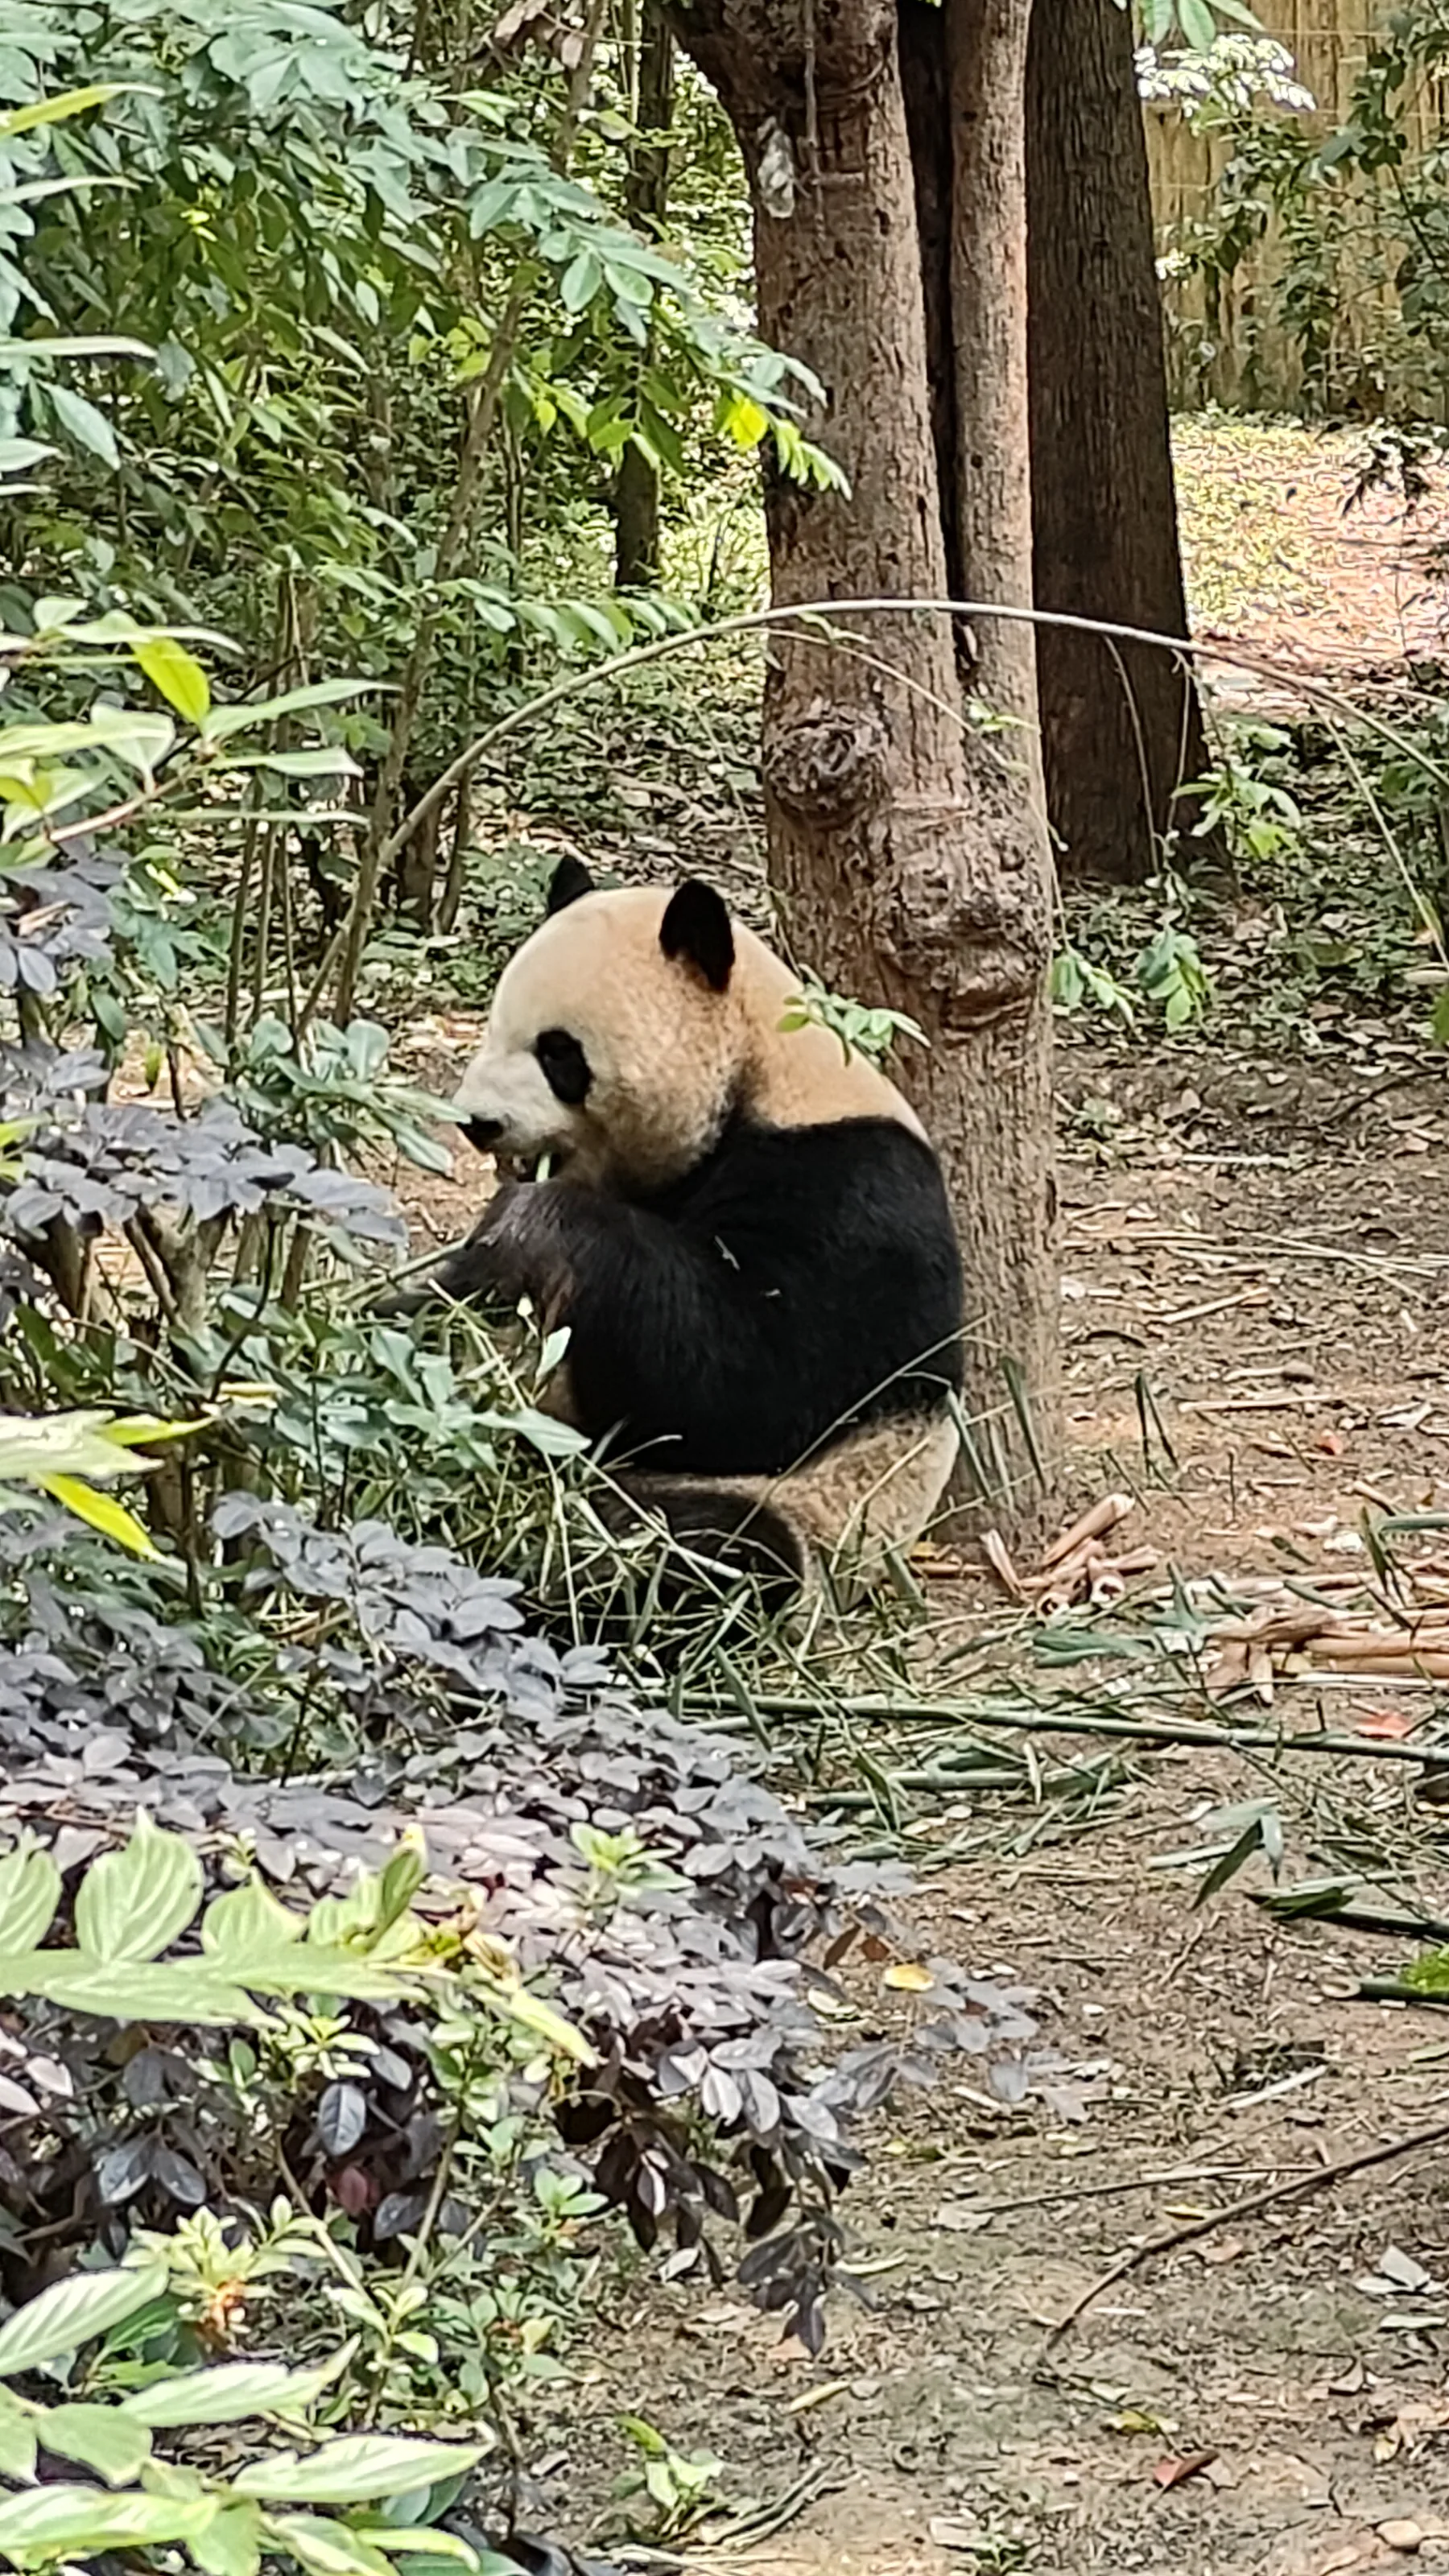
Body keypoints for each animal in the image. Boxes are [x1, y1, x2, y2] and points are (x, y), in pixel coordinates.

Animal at [418, 857, 964, 1605]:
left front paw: (531, 1221)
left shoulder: (851, 1192)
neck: (759, 1073)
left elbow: (745, 1384)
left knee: (708, 1552)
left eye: (559, 1054)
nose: (478, 1122)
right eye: (494, 1027)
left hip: (809, 1513)